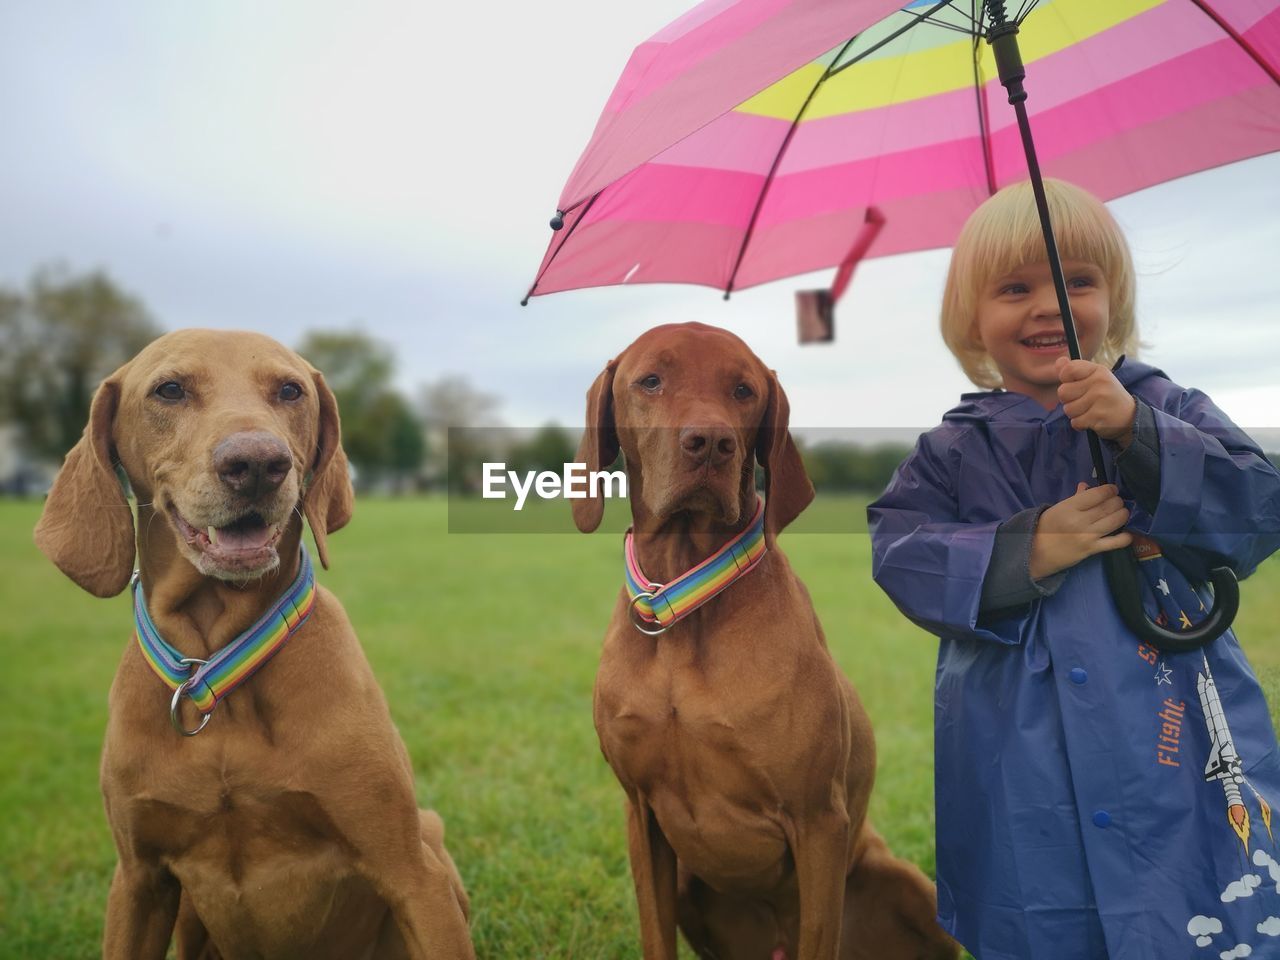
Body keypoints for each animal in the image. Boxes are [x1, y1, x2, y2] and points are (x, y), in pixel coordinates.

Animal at [36, 332, 476, 960]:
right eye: (169, 389)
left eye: (290, 390)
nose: (258, 464)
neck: (213, 665)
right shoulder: (138, 880)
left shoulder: (412, 875)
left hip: (431, 833)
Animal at [576, 325, 957, 960]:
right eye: (650, 380)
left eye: (743, 390)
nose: (710, 443)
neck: (682, 609)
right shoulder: (641, 814)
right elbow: (655, 933)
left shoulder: (818, 821)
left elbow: (819, 932)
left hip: (909, 885)